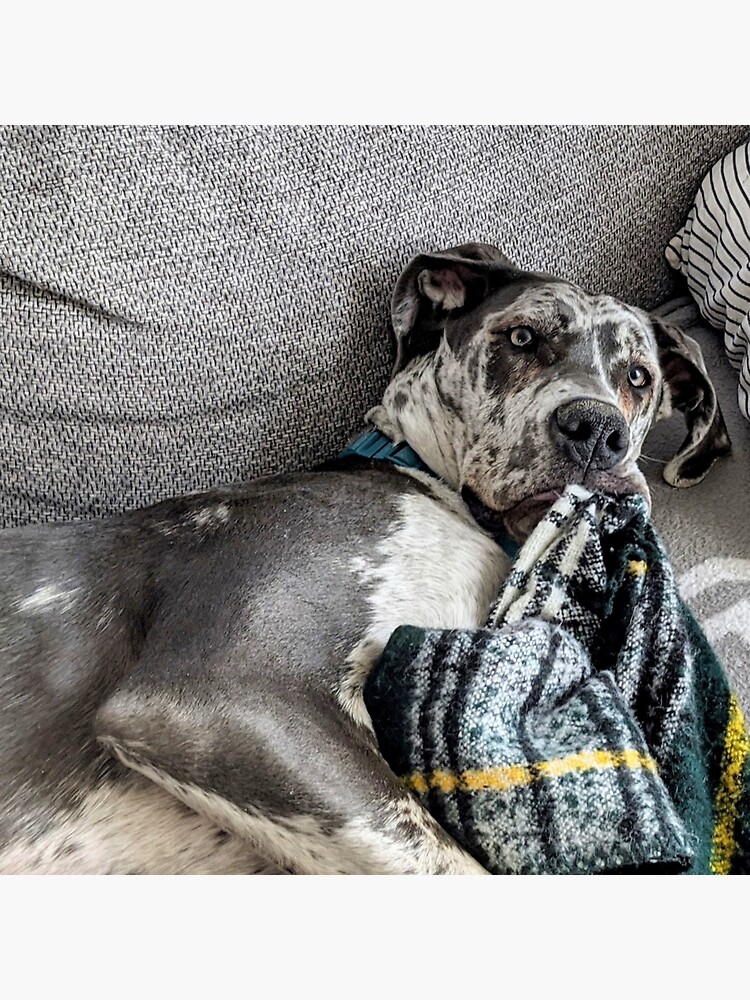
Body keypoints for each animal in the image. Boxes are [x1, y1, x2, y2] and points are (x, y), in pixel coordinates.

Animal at [0, 244, 732, 876]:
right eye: (523, 339)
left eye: (638, 377)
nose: (598, 430)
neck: (432, 485)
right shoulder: (213, 698)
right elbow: (451, 864)